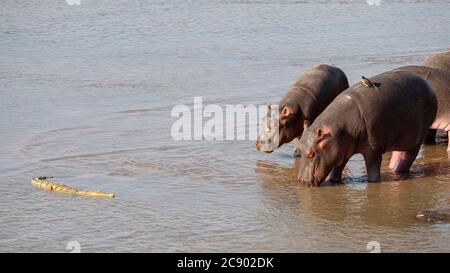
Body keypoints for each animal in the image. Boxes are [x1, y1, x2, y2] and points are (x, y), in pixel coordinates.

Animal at [296, 70, 436, 186]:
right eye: (300, 150)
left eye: (311, 154)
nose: (301, 180)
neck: (336, 130)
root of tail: (429, 86)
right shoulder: (342, 150)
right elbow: (337, 168)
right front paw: (333, 181)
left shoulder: (372, 148)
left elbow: (372, 170)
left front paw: (373, 181)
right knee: (399, 155)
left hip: (418, 137)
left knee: (407, 157)